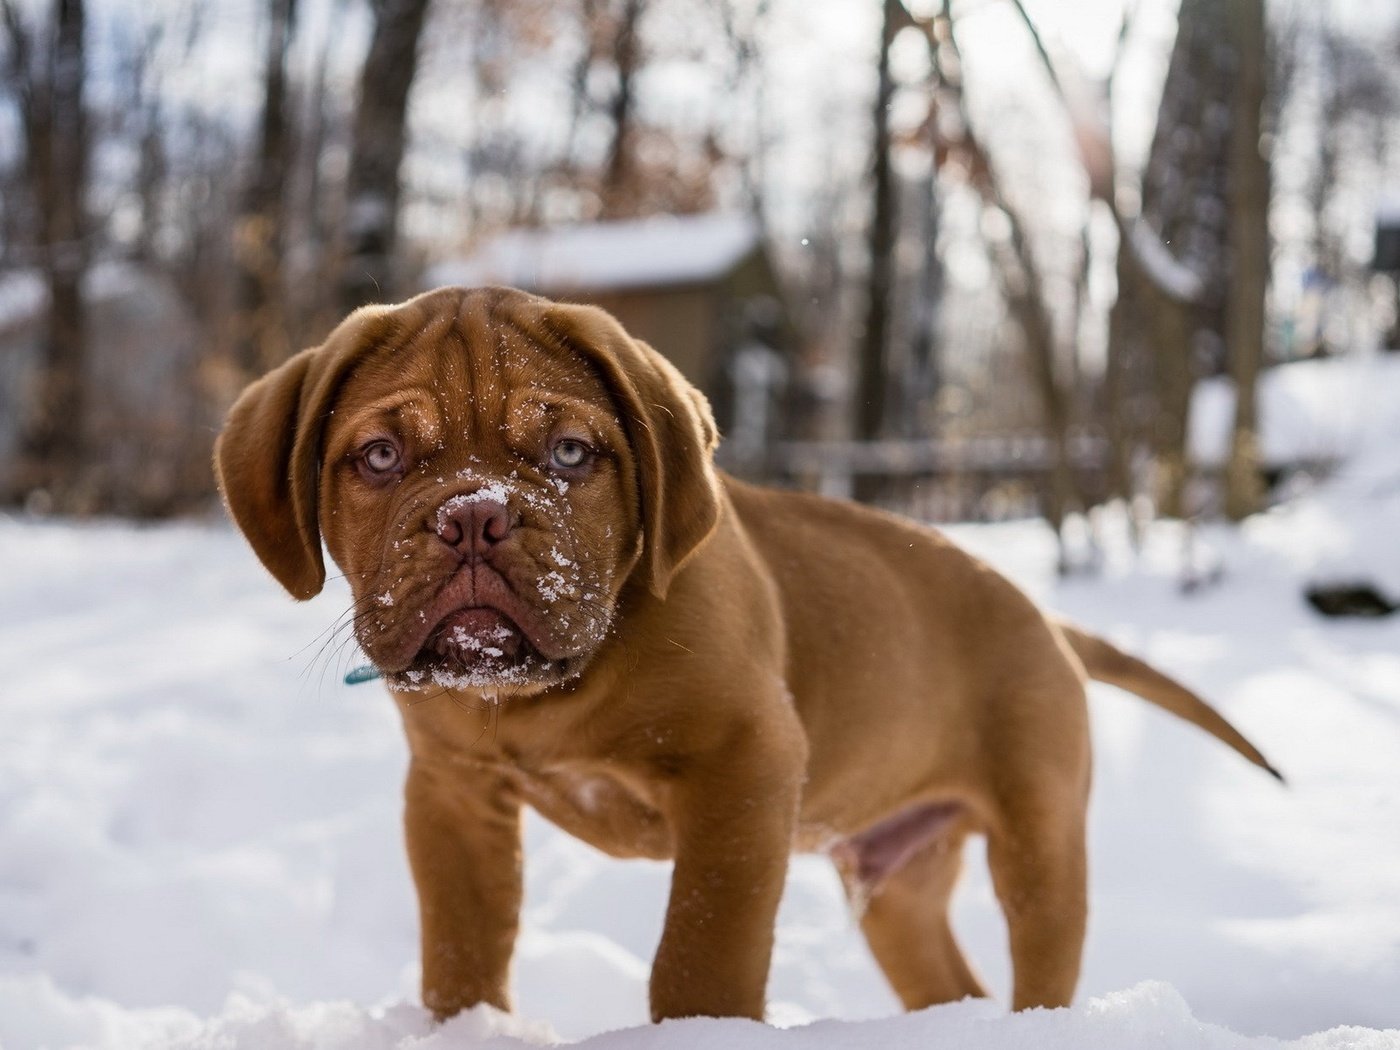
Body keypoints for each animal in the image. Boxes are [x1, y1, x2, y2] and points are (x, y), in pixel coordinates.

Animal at [215, 288, 1282, 1030]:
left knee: (1038, 965)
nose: (474, 517)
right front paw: (462, 1028)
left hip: (1041, 842)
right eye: (380, 458)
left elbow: (702, 950)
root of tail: (1047, 618)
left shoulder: (745, 765)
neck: (548, 694)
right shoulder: (452, 794)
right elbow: (462, 953)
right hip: (899, 889)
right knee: (952, 983)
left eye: (569, 454)